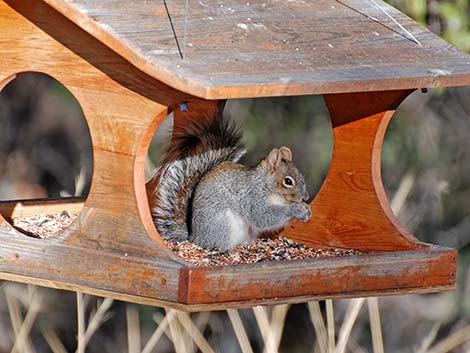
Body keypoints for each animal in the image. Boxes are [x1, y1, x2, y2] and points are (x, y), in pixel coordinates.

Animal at [149, 103, 312, 249]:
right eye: (288, 181)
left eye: (301, 175)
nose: (306, 197)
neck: (266, 186)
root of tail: (195, 238)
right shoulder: (253, 198)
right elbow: (263, 216)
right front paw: (299, 210)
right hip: (224, 225)